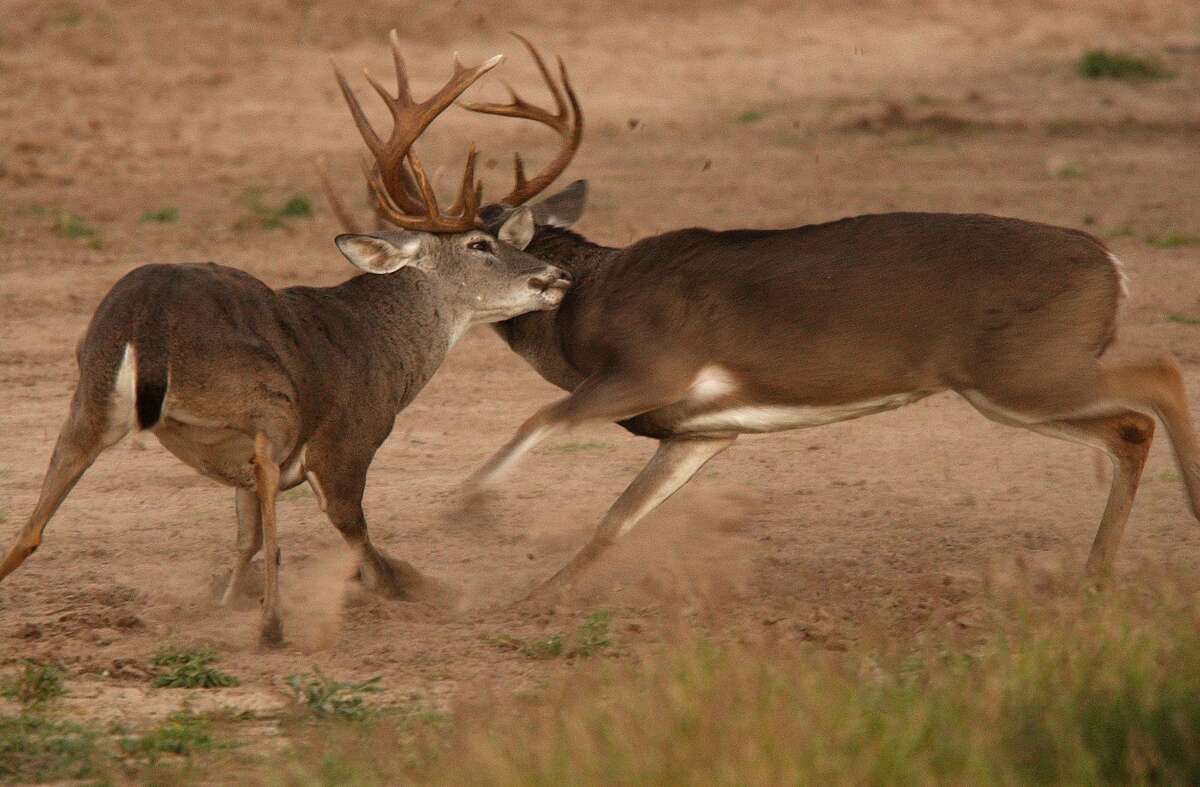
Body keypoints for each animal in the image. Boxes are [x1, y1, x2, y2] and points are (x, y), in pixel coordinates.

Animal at [0, 34, 574, 647]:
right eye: (478, 245)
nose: (557, 277)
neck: (382, 343)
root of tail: (149, 316)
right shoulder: (347, 442)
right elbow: (362, 545)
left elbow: (247, 533)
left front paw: (227, 602)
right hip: (263, 395)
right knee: (271, 478)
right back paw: (273, 624)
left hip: (90, 389)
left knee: (34, 525)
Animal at [325, 37, 1200, 597]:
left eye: (485, 239)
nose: (551, 280)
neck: (591, 299)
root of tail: (1113, 265)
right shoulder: (704, 428)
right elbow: (617, 518)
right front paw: (537, 598)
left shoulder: (654, 364)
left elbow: (539, 417)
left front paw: (468, 507)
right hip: (1014, 384)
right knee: (1130, 425)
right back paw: (1096, 574)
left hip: (1021, 371)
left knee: (1158, 374)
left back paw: (1178, 515)